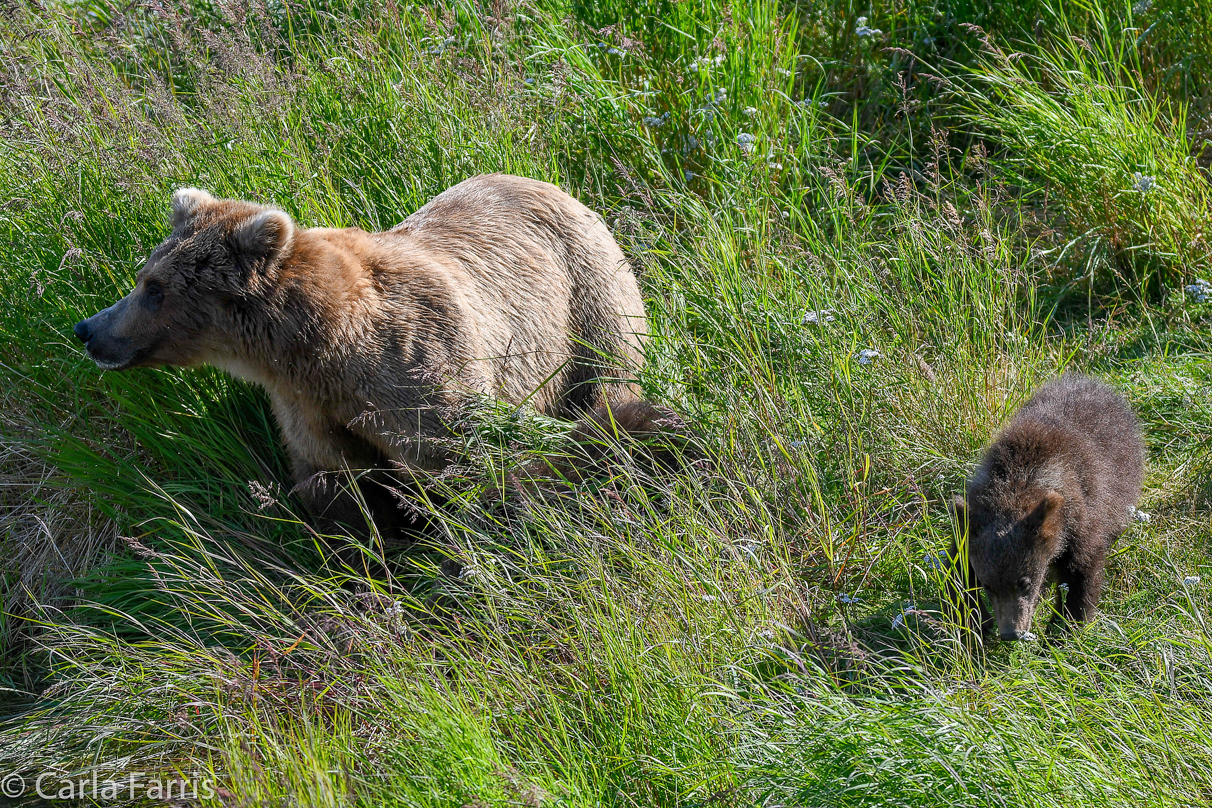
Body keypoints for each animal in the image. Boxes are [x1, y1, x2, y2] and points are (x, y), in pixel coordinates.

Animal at [75, 174, 678, 540]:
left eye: (153, 288)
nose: (89, 329)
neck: (323, 347)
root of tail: (556, 187)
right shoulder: (306, 405)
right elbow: (338, 485)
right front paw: (371, 551)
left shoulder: (422, 372)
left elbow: (476, 467)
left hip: (587, 297)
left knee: (610, 384)